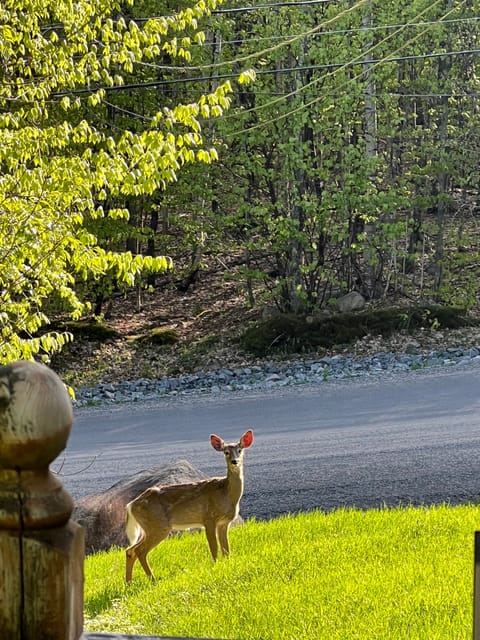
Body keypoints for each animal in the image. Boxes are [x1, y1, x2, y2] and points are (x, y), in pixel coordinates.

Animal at [125, 428, 255, 584]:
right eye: (226, 452)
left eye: (240, 450)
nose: (235, 461)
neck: (226, 494)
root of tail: (130, 505)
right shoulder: (209, 518)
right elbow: (214, 546)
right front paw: (215, 567)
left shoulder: (224, 522)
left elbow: (226, 549)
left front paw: (227, 565)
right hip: (158, 525)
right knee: (139, 550)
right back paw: (152, 580)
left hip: (148, 527)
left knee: (130, 550)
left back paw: (128, 583)